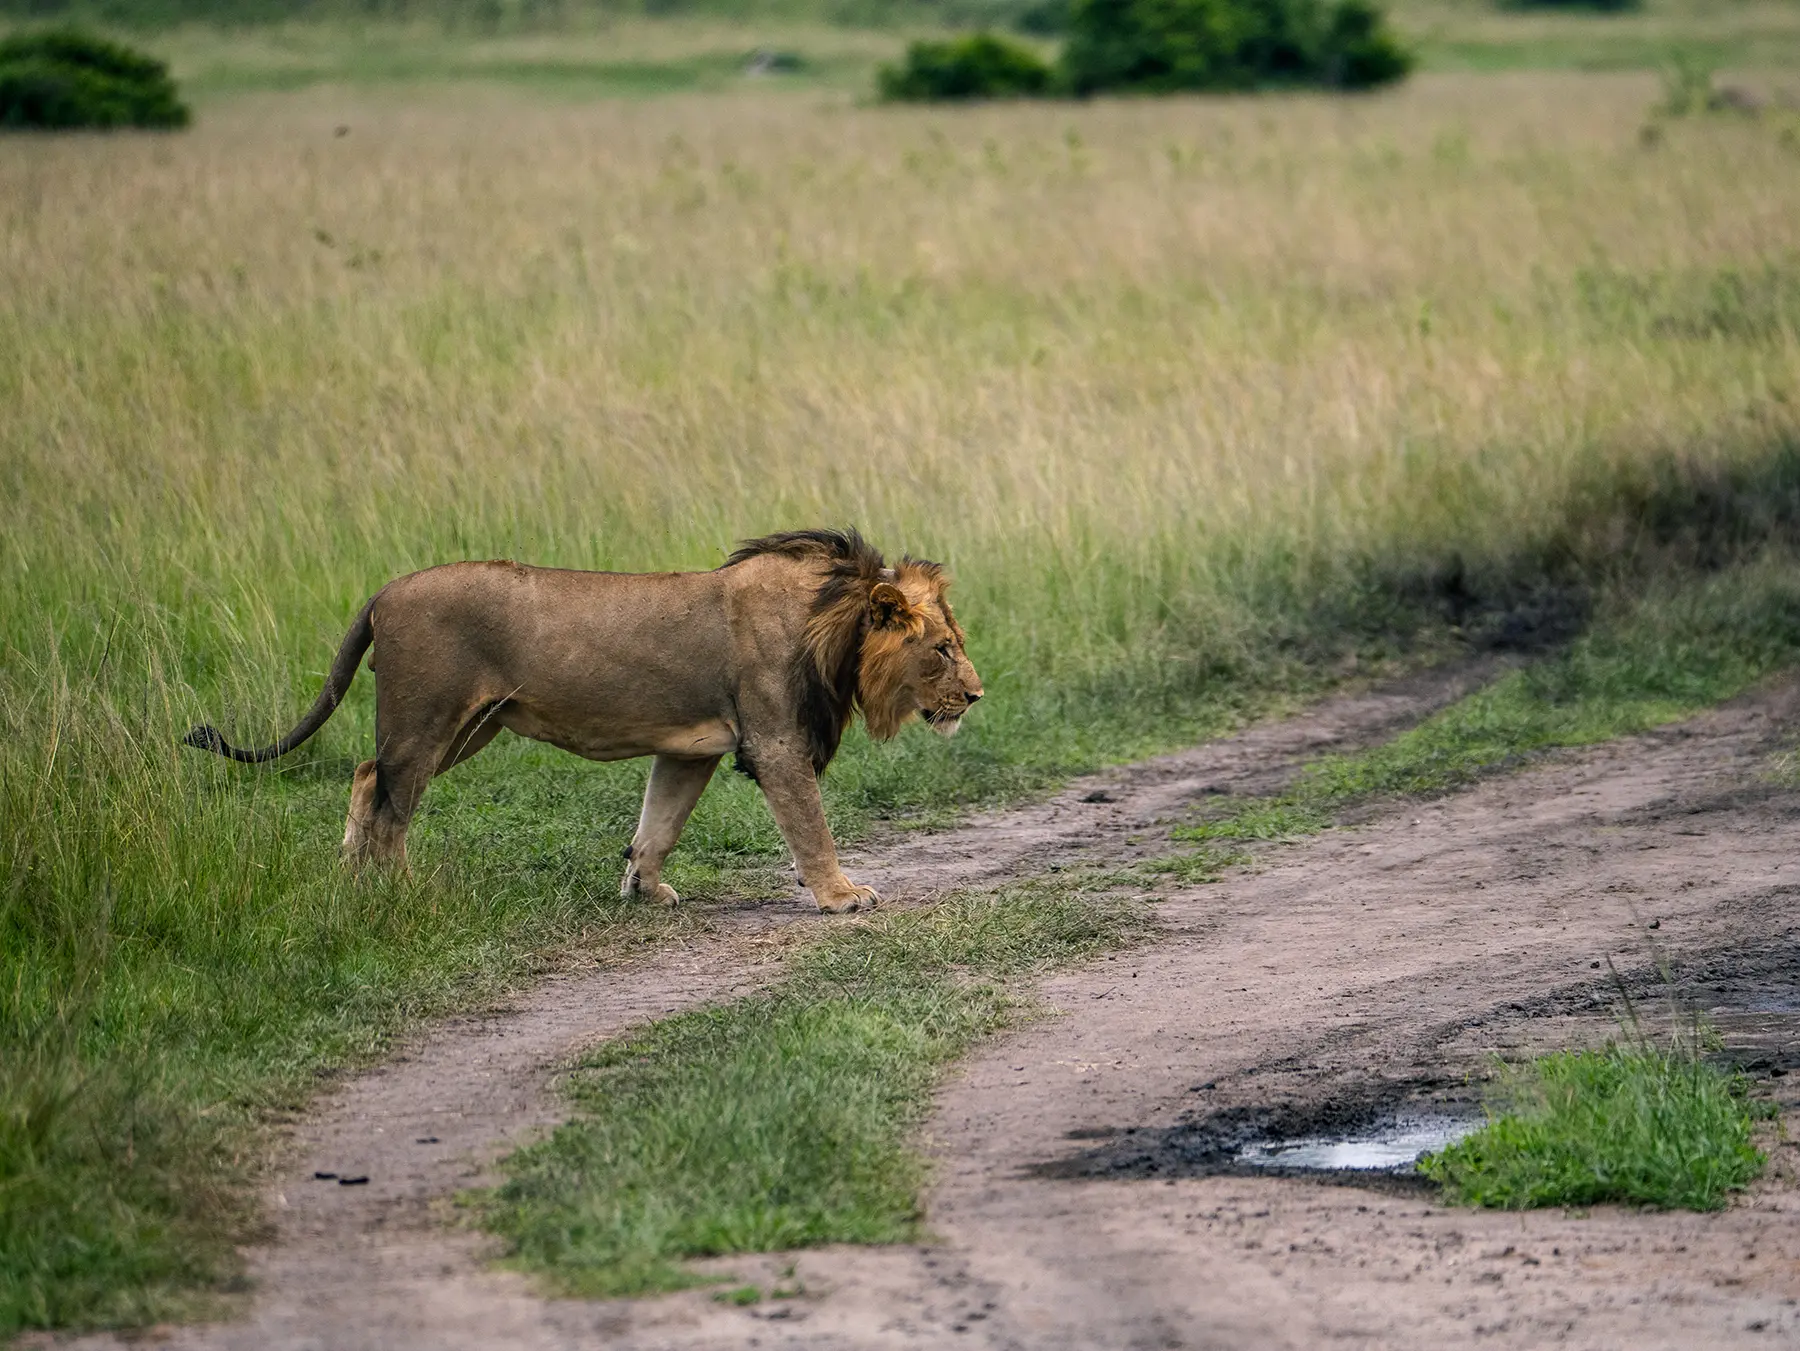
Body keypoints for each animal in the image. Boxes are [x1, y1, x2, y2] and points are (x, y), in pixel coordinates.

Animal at [182, 529, 982, 913]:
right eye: (943, 649)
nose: (976, 697)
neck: (832, 622)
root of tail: (385, 589)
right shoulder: (776, 743)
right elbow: (811, 828)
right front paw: (842, 895)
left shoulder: (691, 748)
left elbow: (659, 823)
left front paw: (644, 890)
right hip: (429, 720)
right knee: (390, 810)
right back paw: (399, 894)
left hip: (471, 727)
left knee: (364, 771)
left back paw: (350, 882)